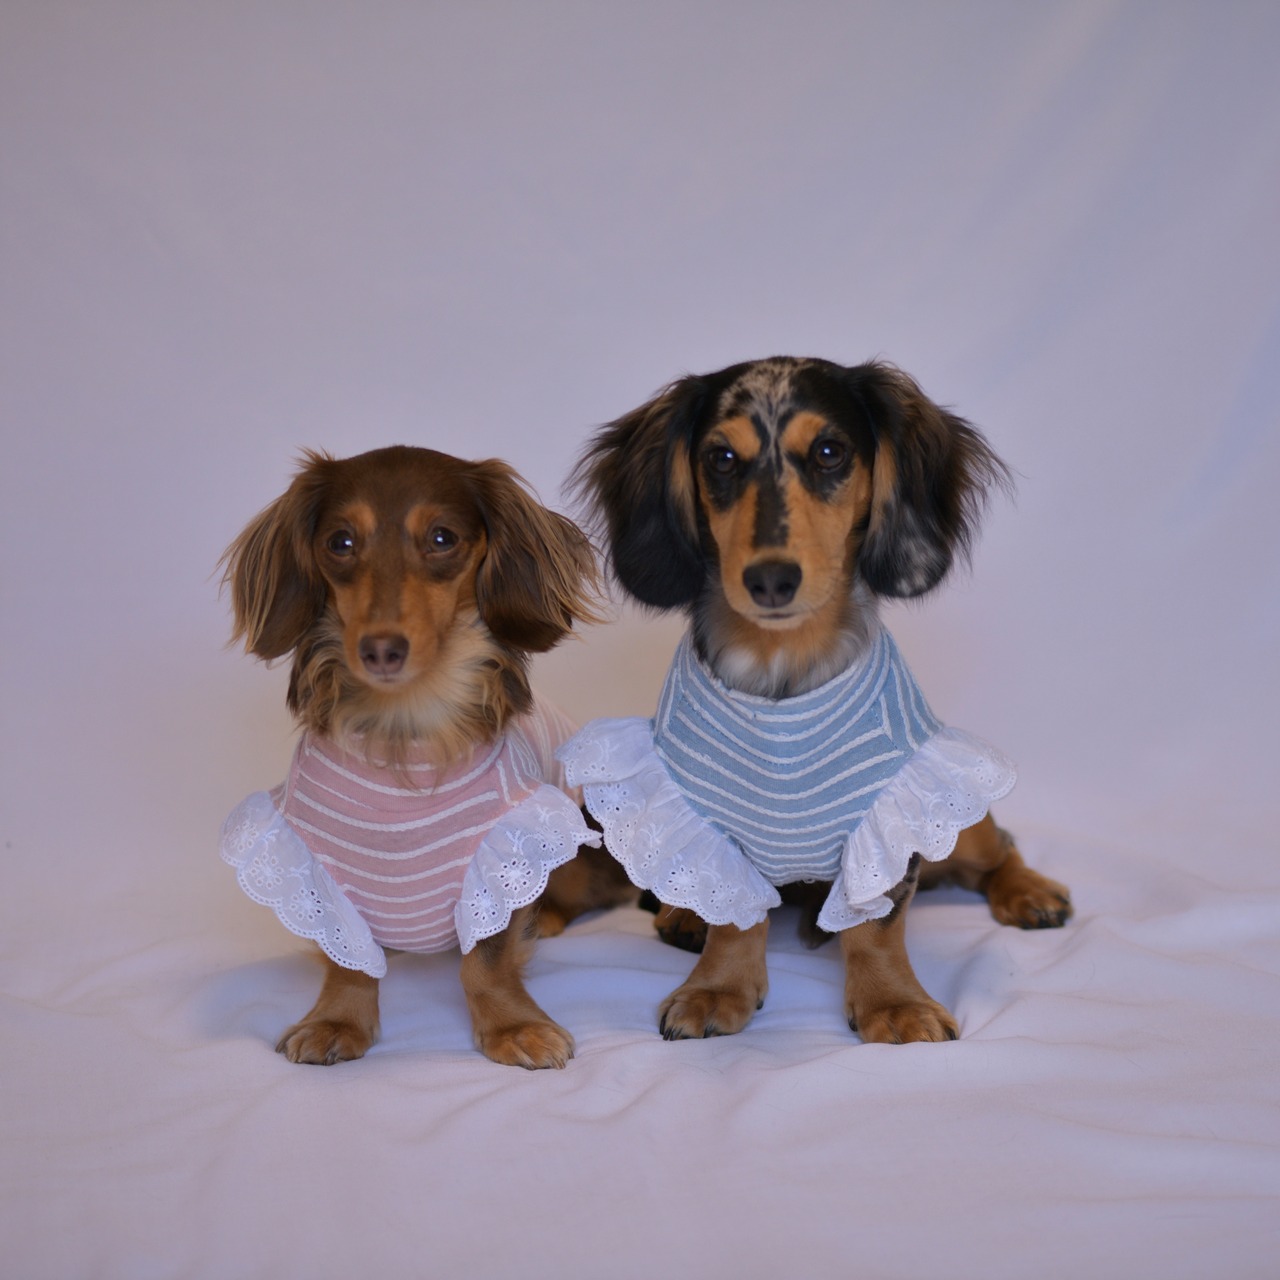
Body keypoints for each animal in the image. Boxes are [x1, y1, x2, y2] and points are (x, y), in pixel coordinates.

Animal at [219, 445, 632, 1068]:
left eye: (442, 538)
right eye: (340, 541)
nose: (381, 650)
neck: (405, 730)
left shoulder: (502, 857)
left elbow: (485, 960)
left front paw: (512, 1027)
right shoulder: (315, 872)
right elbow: (347, 959)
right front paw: (336, 1020)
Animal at [558, 357, 1071, 1045]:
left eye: (829, 452)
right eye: (721, 458)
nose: (771, 579)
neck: (783, 673)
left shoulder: (889, 820)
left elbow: (876, 924)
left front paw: (894, 1005)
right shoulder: (713, 825)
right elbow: (734, 914)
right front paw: (718, 988)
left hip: (960, 816)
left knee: (999, 846)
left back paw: (1030, 891)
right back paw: (681, 914)